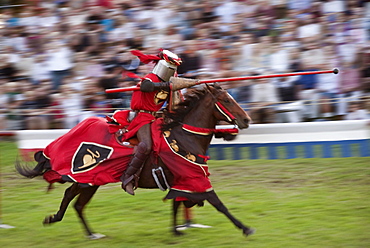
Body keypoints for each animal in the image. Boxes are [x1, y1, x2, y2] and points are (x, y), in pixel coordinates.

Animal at [16, 84, 254, 239]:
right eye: (226, 100)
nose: (246, 120)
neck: (185, 136)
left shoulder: (181, 182)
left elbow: (177, 204)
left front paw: (176, 230)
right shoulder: (195, 179)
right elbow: (218, 203)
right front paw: (245, 228)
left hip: (90, 181)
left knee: (75, 201)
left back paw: (83, 230)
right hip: (87, 178)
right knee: (73, 199)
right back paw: (68, 223)